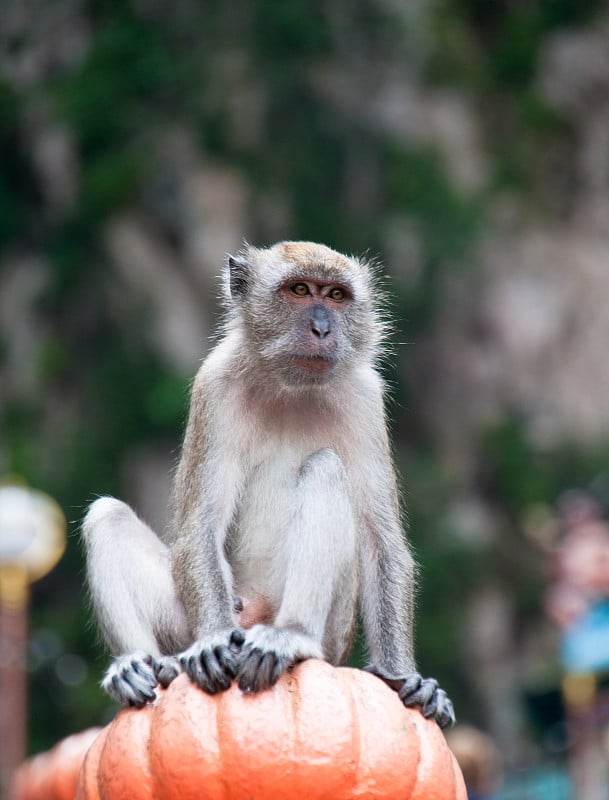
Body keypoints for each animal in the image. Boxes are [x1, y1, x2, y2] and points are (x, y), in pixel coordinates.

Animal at [83, 241, 454, 728]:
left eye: (336, 295)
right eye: (299, 290)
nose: (321, 328)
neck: (292, 388)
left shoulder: (365, 398)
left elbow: (381, 541)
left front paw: (401, 677)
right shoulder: (215, 384)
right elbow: (201, 524)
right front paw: (213, 640)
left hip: (332, 635)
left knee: (325, 469)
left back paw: (290, 637)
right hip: (189, 623)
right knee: (106, 515)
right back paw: (139, 665)